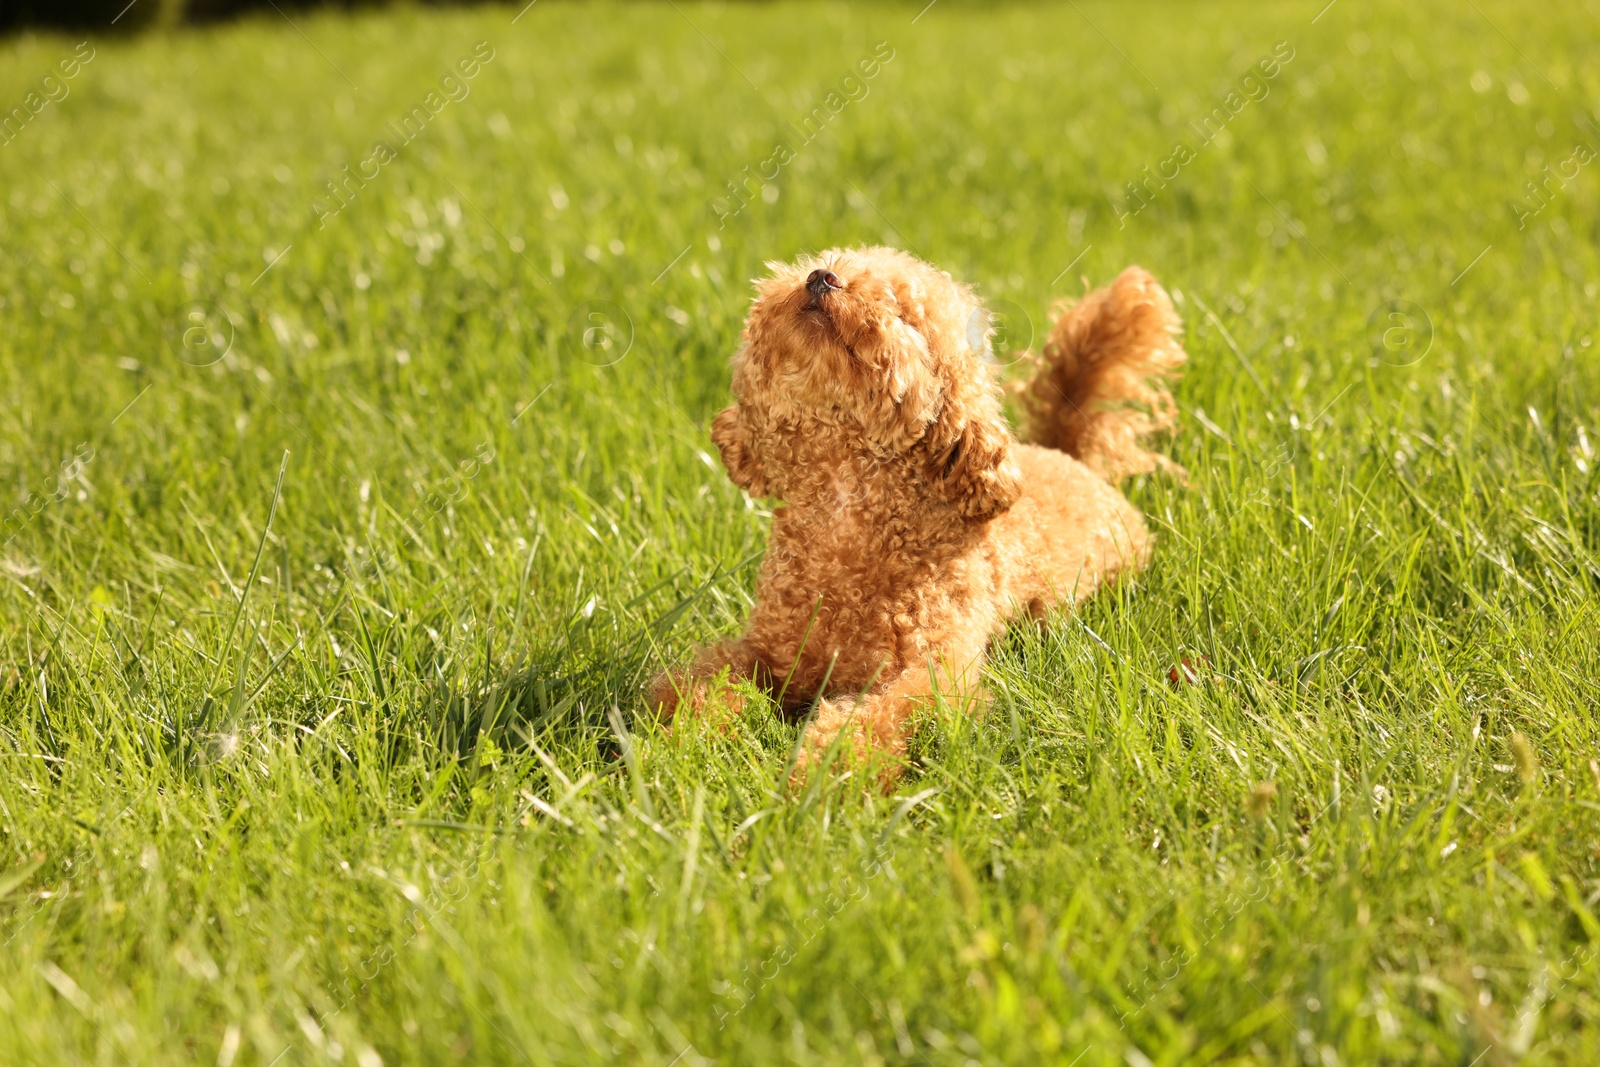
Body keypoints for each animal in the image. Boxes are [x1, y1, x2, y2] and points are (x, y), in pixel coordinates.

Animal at [649, 246, 1190, 780]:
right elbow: (709, 678)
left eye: (906, 316)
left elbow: (878, 718)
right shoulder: (771, 648)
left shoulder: (933, 672)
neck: (848, 511)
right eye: (825, 261)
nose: (821, 278)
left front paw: (826, 773)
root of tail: (1069, 454)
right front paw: (690, 731)